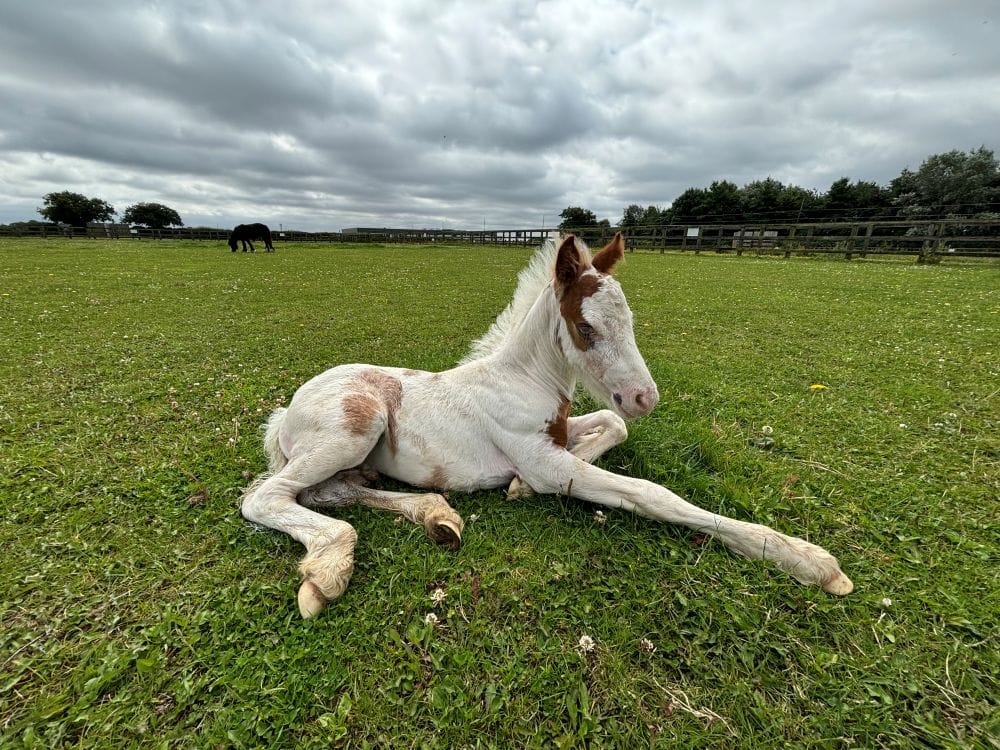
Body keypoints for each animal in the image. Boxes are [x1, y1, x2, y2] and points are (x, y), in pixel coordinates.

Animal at [242, 233, 853, 617]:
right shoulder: (542, 458)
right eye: (586, 328)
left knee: (333, 491)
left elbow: (611, 425)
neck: (522, 380)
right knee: (267, 497)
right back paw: (329, 568)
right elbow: (651, 493)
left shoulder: (557, 438)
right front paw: (804, 558)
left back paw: (437, 515)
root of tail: (286, 411)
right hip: (356, 424)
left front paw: (519, 486)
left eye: (631, 320)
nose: (645, 397)